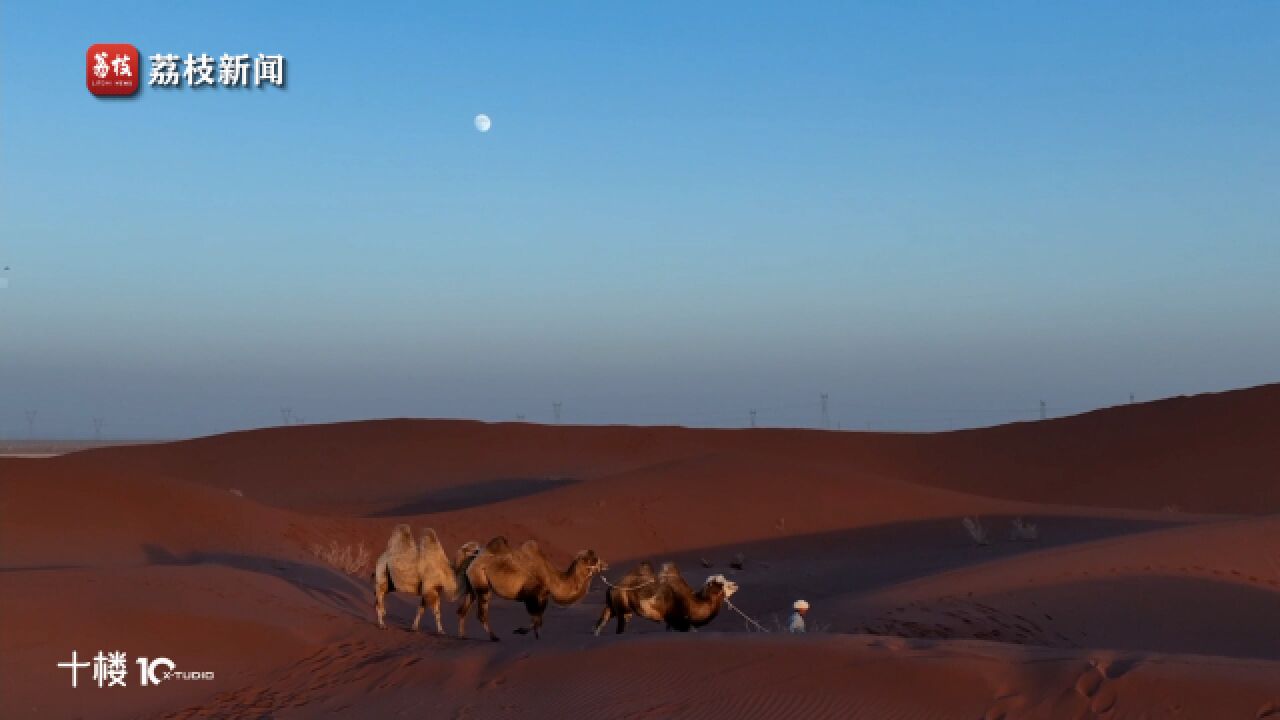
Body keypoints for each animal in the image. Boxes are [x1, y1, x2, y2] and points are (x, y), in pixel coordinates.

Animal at [455, 532, 604, 638]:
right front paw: (520, 631)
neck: (552, 578)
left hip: (472, 586)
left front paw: (534, 635)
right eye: (595, 560)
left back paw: (463, 636)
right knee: (481, 613)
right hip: (482, 582)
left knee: (463, 609)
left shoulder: (542, 597)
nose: (606, 564)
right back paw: (494, 637)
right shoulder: (533, 596)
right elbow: (537, 620)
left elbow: (538, 620)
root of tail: (473, 559)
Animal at [591, 558, 737, 630]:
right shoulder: (677, 621)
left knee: (600, 623)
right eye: (720, 583)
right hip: (622, 611)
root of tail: (612, 588)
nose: (735, 584)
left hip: (613, 608)